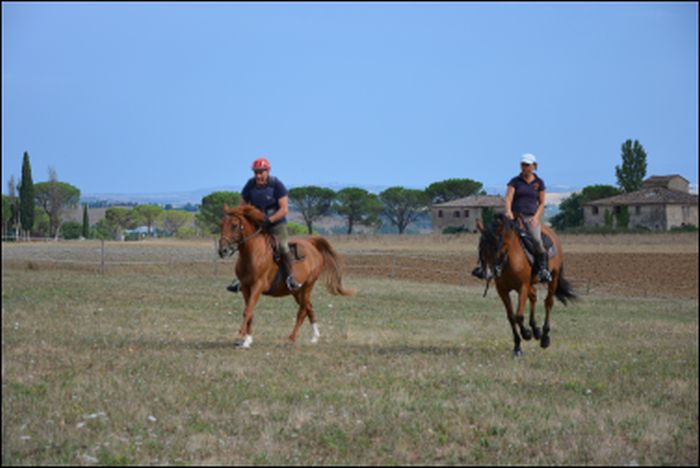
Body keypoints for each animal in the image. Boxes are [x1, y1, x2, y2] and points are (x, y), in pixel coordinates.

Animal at [219, 205, 356, 348]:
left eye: (234, 225)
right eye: (220, 225)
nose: (222, 251)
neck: (253, 254)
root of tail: (311, 244)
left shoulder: (258, 286)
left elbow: (247, 311)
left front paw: (240, 336)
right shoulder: (246, 288)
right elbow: (249, 311)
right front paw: (247, 340)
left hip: (308, 286)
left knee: (302, 311)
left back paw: (291, 338)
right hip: (296, 291)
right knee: (309, 307)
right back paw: (314, 337)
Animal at [476, 214, 580, 356]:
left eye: (498, 245)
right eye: (481, 247)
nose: (488, 273)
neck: (509, 261)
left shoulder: (523, 287)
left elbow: (519, 315)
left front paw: (527, 334)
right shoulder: (502, 290)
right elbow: (511, 317)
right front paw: (517, 347)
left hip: (553, 278)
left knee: (548, 303)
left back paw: (544, 338)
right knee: (534, 297)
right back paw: (536, 330)